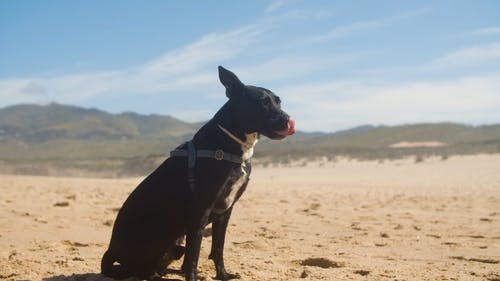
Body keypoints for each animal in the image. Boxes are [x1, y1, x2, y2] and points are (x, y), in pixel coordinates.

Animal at [102, 66, 296, 280]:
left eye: (279, 101)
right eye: (263, 102)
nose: (288, 120)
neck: (231, 143)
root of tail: (111, 251)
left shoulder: (224, 212)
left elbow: (217, 248)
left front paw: (223, 275)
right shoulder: (199, 212)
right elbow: (194, 255)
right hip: (159, 232)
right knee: (140, 270)